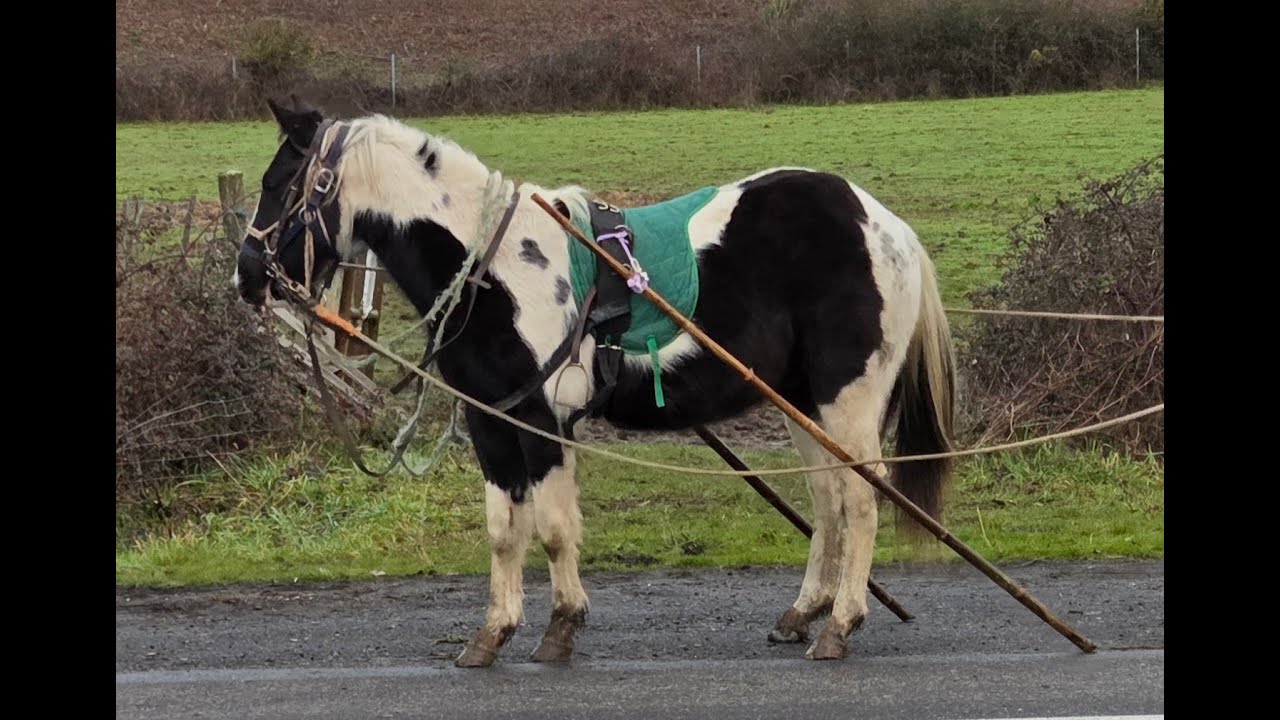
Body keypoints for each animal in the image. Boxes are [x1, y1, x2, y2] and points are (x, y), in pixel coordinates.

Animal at [234, 95, 957, 668]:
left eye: (281, 183)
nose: (246, 276)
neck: (493, 265)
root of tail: (886, 224)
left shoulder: (543, 423)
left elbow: (553, 528)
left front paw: (560, 628)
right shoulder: (492, 422)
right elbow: (504, 529)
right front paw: (491, 635)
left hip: (847, 400)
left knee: (861, 500)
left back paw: (841, 625)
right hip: (803, 404)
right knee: (829, 501)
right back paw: (804, 613)